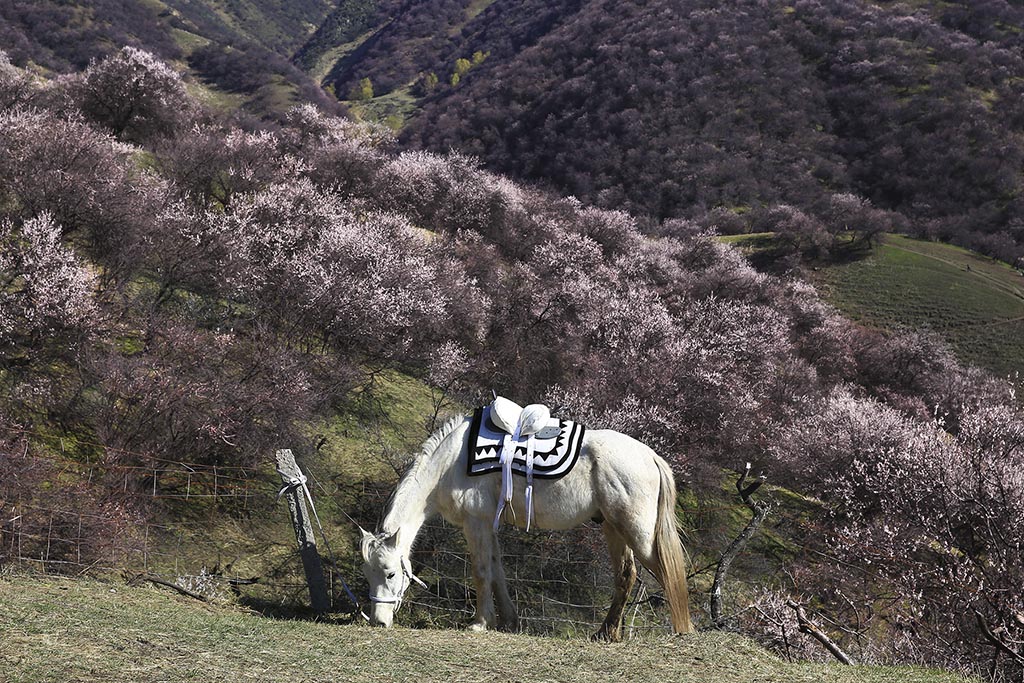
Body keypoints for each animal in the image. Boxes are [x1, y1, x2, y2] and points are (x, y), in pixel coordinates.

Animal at [362, 405, 696, 643]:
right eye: (369, 575)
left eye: (391, 573)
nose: (378, 621)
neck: (451, 462)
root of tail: (650, 456)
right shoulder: (489, 526)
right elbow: (497, 570)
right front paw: (508, 621)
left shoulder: (476, 523)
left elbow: (481, 572)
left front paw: (480, 623)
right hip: (614, 529)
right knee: (626, 575)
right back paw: (606, 632)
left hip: (637, 532)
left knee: (666, 573)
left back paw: (682, 629)